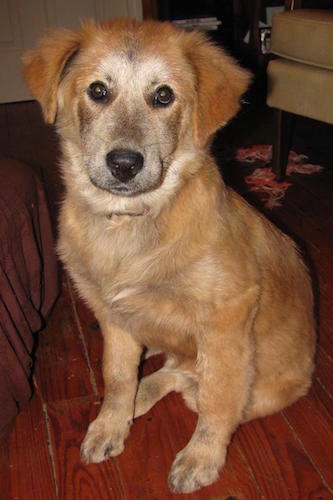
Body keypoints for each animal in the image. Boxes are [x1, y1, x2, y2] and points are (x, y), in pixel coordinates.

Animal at [22, 18, 314, 492]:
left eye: (163, 96)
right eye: (98, 91)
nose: (124, 164)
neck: (129, 224)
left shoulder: (226, 320)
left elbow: (217, 398)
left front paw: (201, 457)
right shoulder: (114, 315)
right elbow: (117, 376)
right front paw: (111, 423)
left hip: (261, 385)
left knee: (198, 386)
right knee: (177, 371)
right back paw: (139, 398)